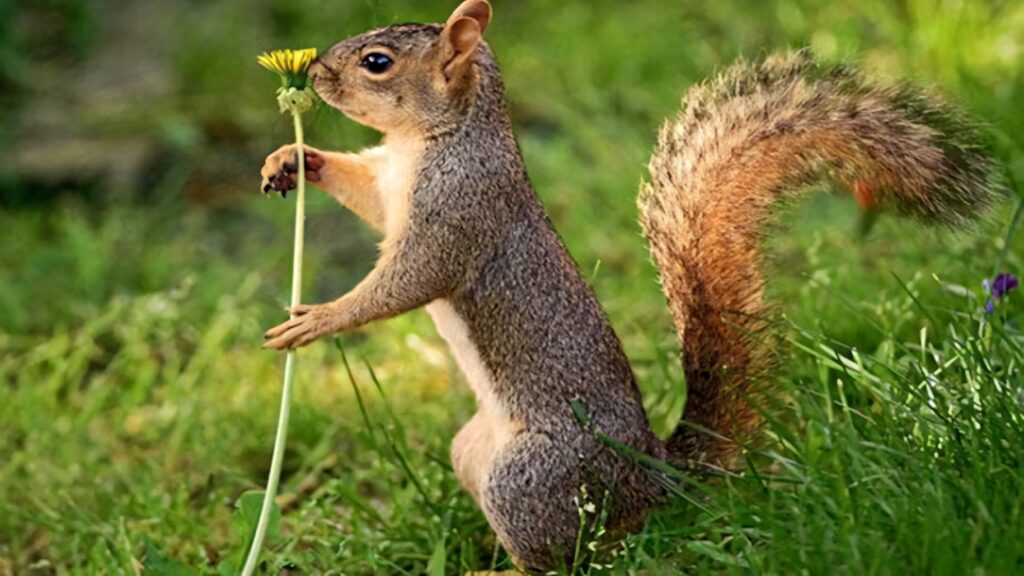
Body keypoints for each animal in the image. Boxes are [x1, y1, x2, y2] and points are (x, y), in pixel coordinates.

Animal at [259, 0, 997, 571]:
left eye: (377, 62)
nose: (315, 72)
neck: (428, 141)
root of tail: (651, 479)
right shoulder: (388, 186)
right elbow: (364, 195)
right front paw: (292, 158)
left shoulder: (460, 213)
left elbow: (408, 282)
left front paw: (318, 319)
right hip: (474, 454)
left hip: (528, 479)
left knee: (575, 557)